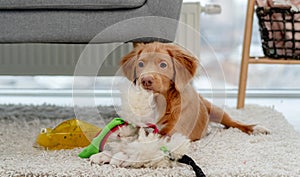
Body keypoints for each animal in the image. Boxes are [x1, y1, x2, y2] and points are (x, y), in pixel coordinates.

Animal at [119, 41, 264, 141]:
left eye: (163, 65)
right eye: (140, 64)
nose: (146, 80)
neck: (159, 101)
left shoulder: (173, 133)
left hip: (215, 109)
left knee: (233, 122)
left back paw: (256, 128)